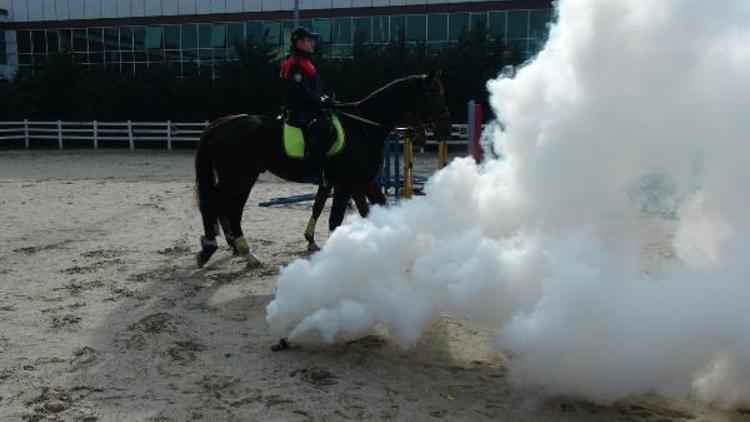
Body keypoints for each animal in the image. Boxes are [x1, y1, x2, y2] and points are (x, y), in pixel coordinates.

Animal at [194, 70, 452, 268]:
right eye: (432, 94)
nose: (445, 129)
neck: (363, 127)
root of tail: (221, 124)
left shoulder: (364, 181)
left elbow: (377, 209)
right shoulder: (345, 183)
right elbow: (335, 218)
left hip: (246, 178)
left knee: (232, 211)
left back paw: (247, 253)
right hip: (236, 178)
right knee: (213, 205)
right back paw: (209, 248)